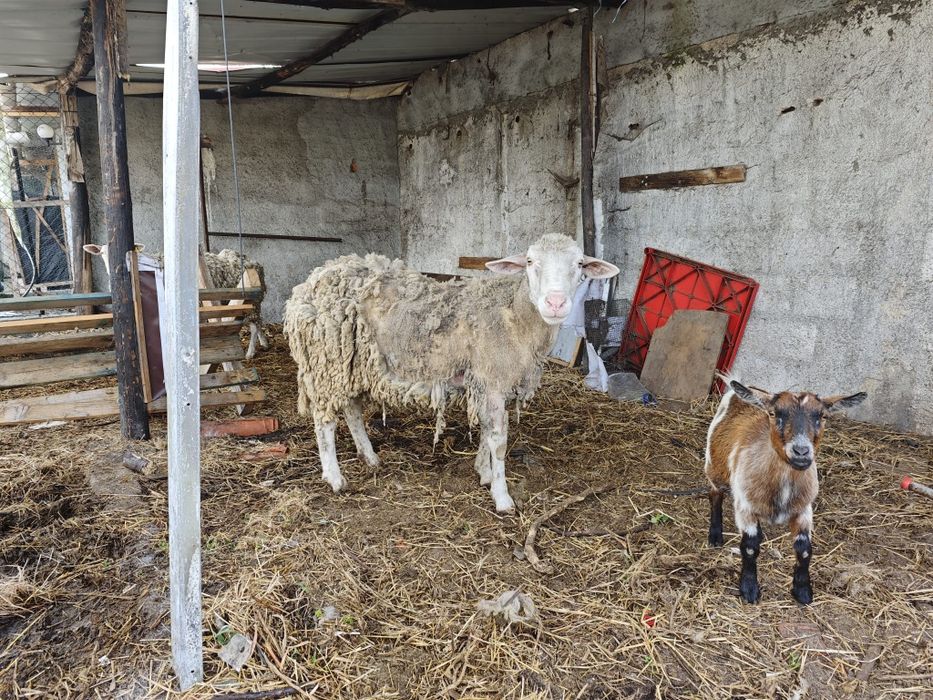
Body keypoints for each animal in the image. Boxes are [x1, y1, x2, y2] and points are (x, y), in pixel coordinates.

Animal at [705, 378, 866, 604]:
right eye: (774, 413)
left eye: (822, 416)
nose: (801, 451)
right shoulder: (745, 507)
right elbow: (750, 547)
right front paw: (749, 589)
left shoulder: (804, 509)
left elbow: (804, 550)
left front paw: (803, 590)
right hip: (714, 467)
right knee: (715, 495)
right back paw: (715, 536)